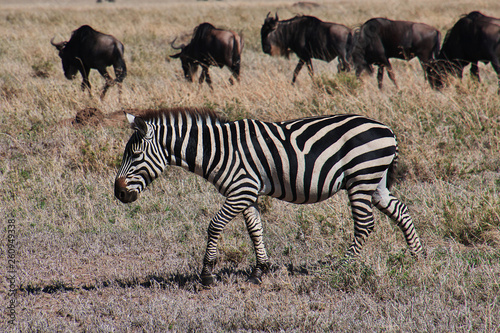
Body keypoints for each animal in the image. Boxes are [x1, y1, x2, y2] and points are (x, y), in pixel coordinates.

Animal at [115, 107, 424, 286]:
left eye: (136, 155)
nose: (118, 193)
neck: (218, 151)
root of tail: (388, 130)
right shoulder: (245, 192)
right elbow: (255, 229)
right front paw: (260, 270)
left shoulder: (241, 189)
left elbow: (214, 225)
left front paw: (207, 274)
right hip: (374, 180)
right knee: (400, 210)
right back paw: (417, 257)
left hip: (361, 178)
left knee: (364, 225)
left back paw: (342, 266)